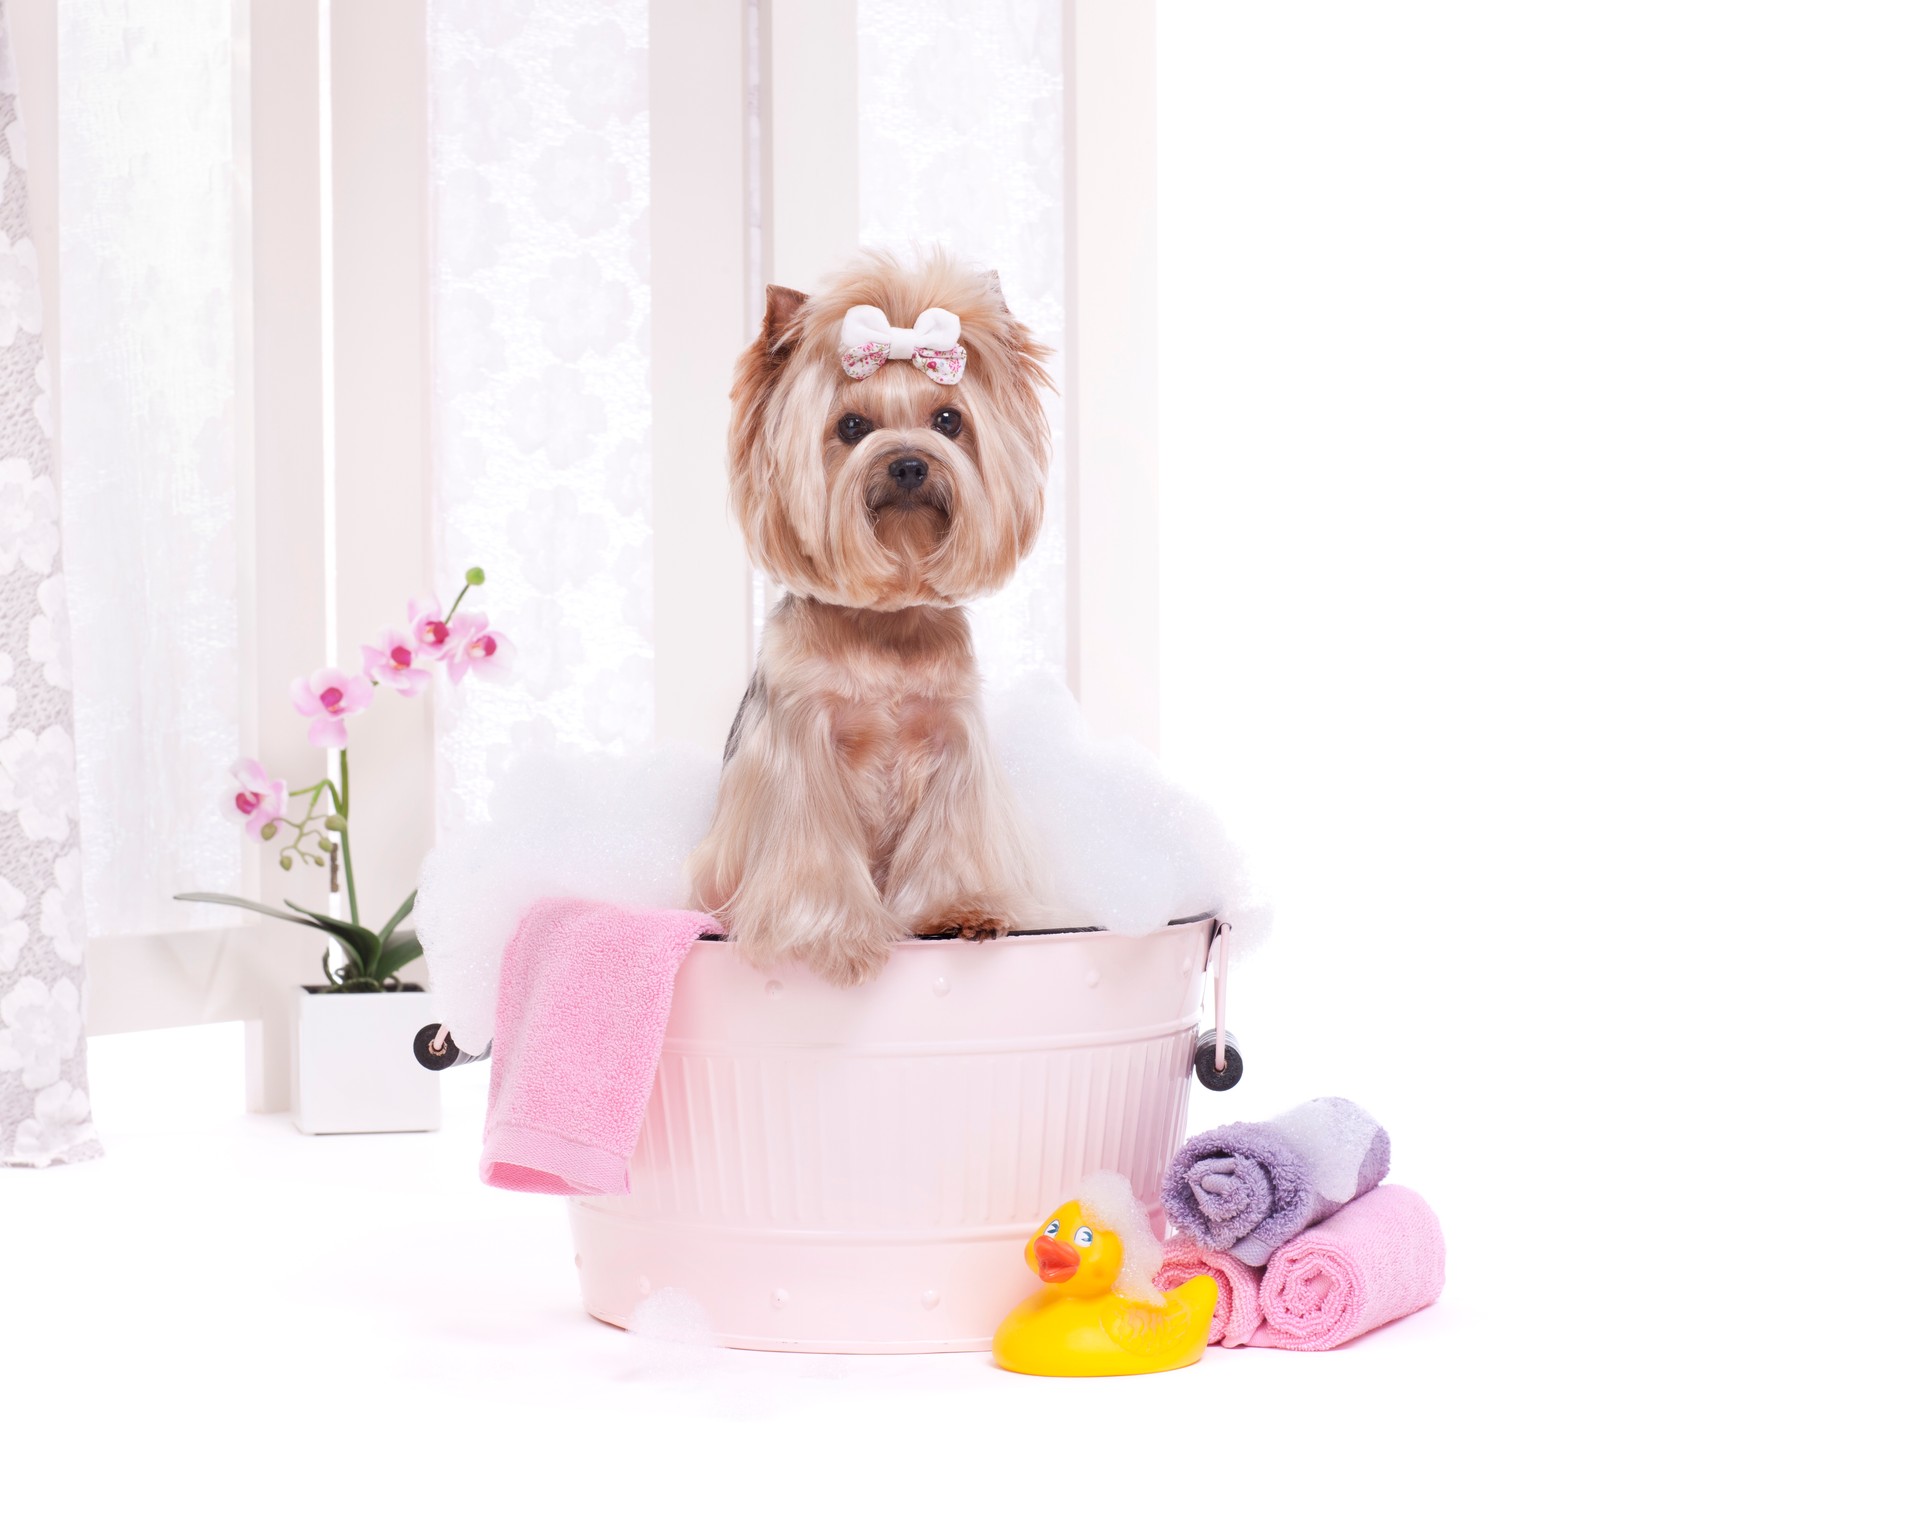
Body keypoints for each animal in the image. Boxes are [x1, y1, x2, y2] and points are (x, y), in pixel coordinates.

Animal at [687, 245, 1052, 979]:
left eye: (949, 421)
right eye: (851, 427)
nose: (909, 464)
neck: (886, 621)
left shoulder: (952, 738)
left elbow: (952, 837)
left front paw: (962, 909)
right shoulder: (802, 749)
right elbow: (815, 850)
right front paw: (830, 934)